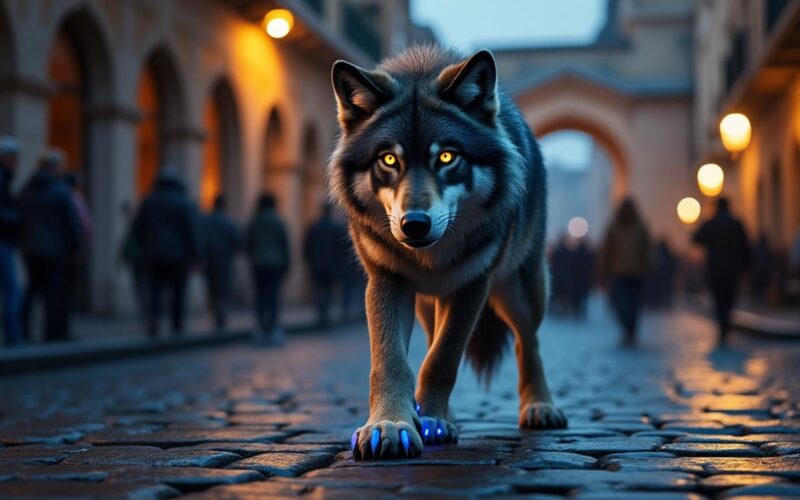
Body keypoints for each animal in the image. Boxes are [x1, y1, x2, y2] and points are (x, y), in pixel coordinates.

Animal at [329, 45, 567, 460]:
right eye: (388, 159)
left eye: (446, 157)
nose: (414, 224)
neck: (432, 258)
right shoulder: (387, 281)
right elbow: (391, 361)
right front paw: (391, 425)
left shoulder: (472, 286)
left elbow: (444, 358)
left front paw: (432, 421)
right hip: (428, 304)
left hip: (519, 291)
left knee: (528, 341)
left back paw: (539, 406)